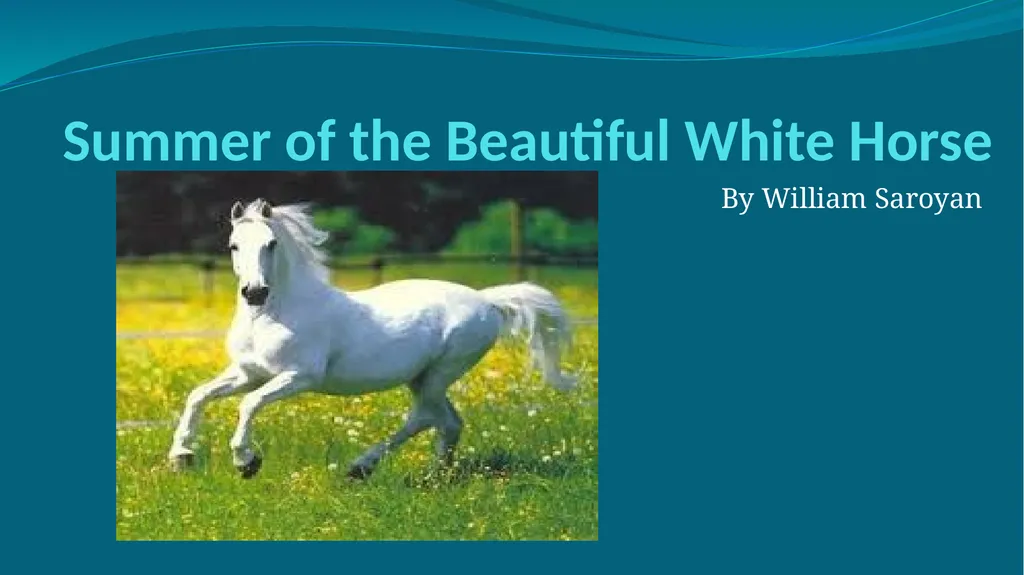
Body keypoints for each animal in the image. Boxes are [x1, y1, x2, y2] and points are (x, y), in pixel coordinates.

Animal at [167, 198, 578, 479]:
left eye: (271, 244)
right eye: (233, 245)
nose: (254, 292)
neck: (274, 314)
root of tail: (487, 301)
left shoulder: (299, 376)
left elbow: (248, 404)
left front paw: (246, 461)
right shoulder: (249, 372)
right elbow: (198, 396)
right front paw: (181, 456)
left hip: (439, 373)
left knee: (426, 417)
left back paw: (363, 467)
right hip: (422, 378)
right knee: (448, 423)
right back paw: (432, 476)